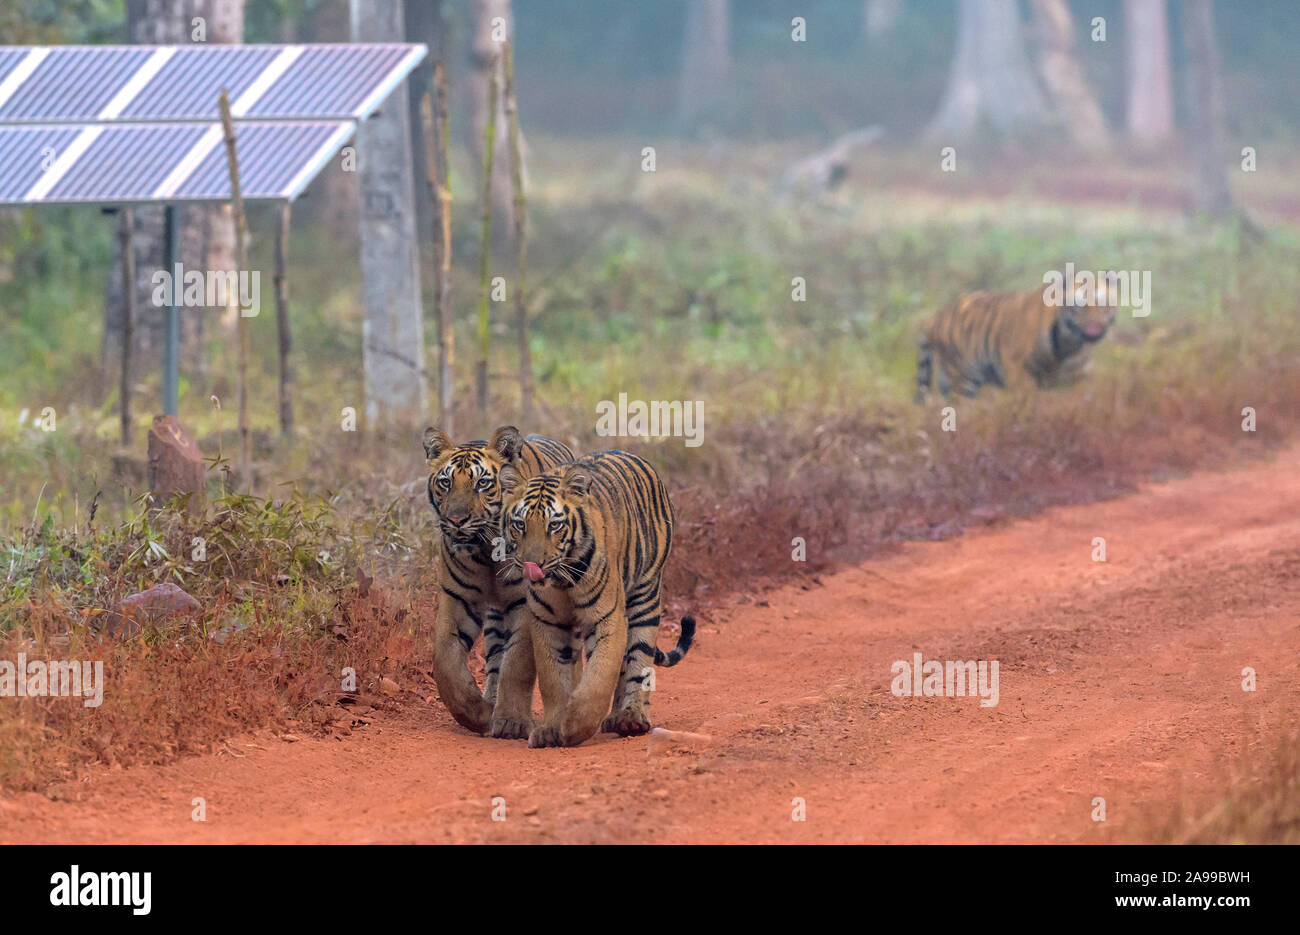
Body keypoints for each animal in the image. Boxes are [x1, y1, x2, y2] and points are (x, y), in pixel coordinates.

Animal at [424, 425, 574, 739]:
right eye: (445, 482)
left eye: (482, 483)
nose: (457, 520)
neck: (485, 547)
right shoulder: (458, 598)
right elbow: (445, 658)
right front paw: (476, 714)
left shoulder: (525, 603)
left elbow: (516, 663)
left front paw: (511, 722)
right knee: (494, 658)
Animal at [498, 449, 696, 748]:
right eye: (520, 525)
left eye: (554, 525)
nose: (533, 565)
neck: (562, 580)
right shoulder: (548, 623)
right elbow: (554, 680)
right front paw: (552, 729)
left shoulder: (607, 618)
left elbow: (599, 677)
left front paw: (575, 725)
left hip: (645, 596)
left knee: (636, 661)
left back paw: (630, 717)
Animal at [915, 278, 1117, 402]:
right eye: (1080, 306)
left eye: (1103, 305)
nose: (1095, 328)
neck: (1069, 344)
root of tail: (933, 318)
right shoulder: (1017, 370)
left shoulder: (1078, 377)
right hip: (962, 380)